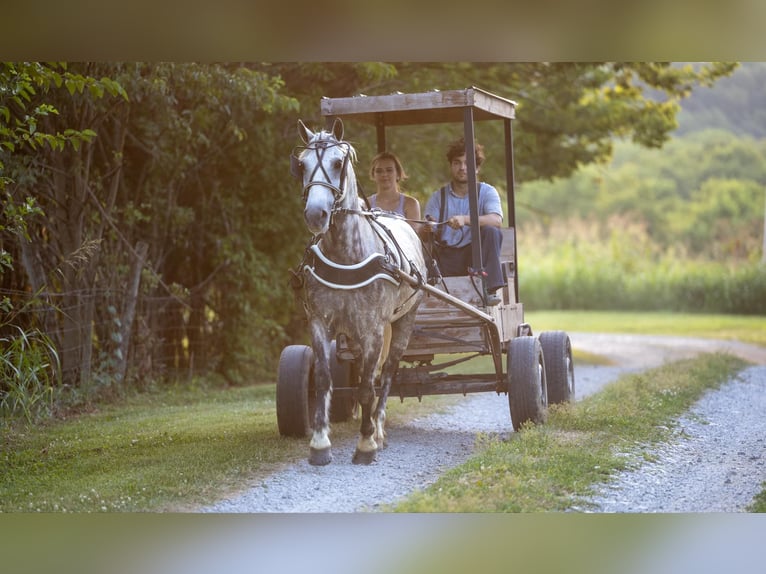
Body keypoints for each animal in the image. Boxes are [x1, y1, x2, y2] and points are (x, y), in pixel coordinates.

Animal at [292, 119, 428, 466]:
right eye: (301, 165)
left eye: (338, 163)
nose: (315, 214)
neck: (346, 255)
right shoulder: (319, 321)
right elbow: (323, 379)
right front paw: (319, 443)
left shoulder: (373, 329)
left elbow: (368, 386)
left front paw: (366, 443)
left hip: (403, 322)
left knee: (387, 373)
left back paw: (377, 429)